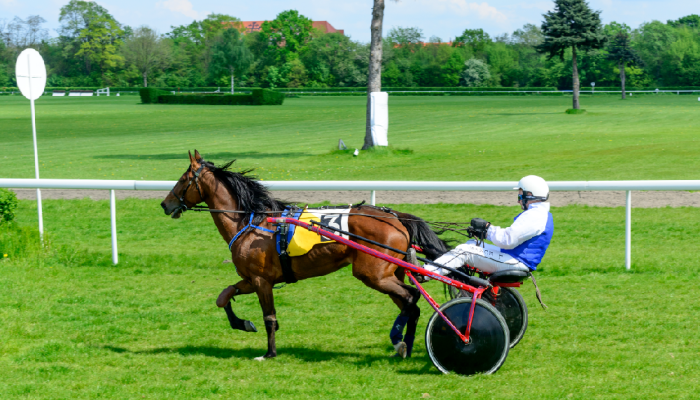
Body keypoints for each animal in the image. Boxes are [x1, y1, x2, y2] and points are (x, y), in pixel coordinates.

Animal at [162, 151, 448, 360]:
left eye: (183, 179)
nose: (165, 204)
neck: (251, 222)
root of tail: (395, 217)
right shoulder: (252, 279)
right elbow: (224, 297)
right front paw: (243, 323)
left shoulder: (262, 281)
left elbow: (269, 318)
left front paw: (269, 353)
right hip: (388, 273)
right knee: (411, 304)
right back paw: (405, 347)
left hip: (373, 274)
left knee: (411, 297)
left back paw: (399, 342)